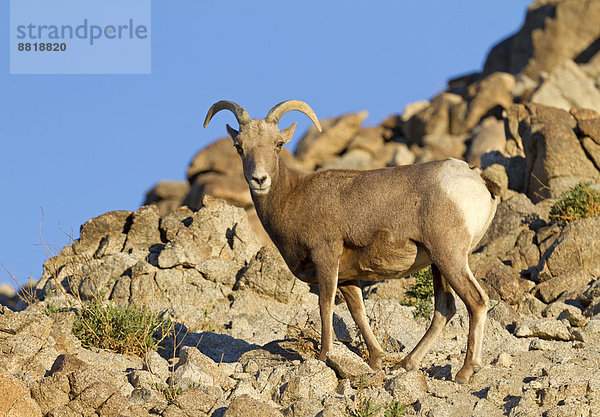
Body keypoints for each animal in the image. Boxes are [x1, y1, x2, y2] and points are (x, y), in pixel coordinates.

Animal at [204, 99, 500, 382]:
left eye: (278, 144)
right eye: (239, 147)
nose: (259, 179)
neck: (292, 199)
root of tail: (477, 178)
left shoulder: (326, 258)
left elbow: (325, 306)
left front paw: (325, 355)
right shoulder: (348, 277)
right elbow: (358, 312)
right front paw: (377, 360)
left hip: (449, 257)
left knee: (476, 301)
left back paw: (465, 372)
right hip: (438, 265)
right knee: (444, 309)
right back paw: (406, 364)